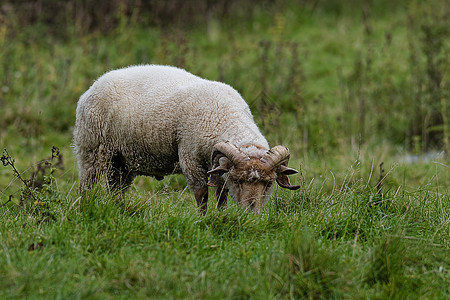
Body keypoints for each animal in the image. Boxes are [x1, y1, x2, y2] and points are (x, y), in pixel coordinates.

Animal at [73, 64, 298, 212]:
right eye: (237, 180)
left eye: (268, 183)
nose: (252, 213)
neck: (226, 117)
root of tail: (94, 85)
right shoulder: (190, 159)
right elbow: (202, 195)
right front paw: (204, 220)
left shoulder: (217, 166)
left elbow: (221, 197)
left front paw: (222, 217)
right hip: (91, 150)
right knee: (86, 186)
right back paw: (85, 208)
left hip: (121, 162)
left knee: (116, 190)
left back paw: (119, 211)